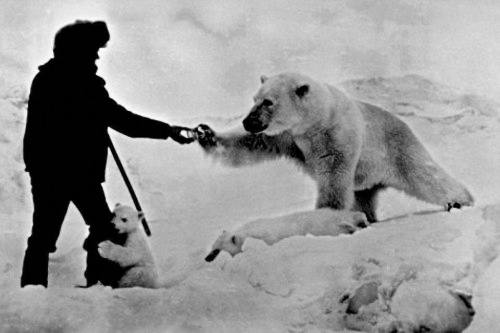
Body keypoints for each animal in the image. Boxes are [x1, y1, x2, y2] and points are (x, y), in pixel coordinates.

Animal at [195, 72, 472, 220]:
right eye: (255, 99)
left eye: (268, 102)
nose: (248, 121)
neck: (314, 122)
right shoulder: (287, 136)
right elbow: (250, 144)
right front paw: (206, 134)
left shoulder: (336, 135)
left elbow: (333, 176)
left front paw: (325, 214)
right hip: (366, 178)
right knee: (363, 197)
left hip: (396, 149)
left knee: (425, 175)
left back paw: (460, 201)